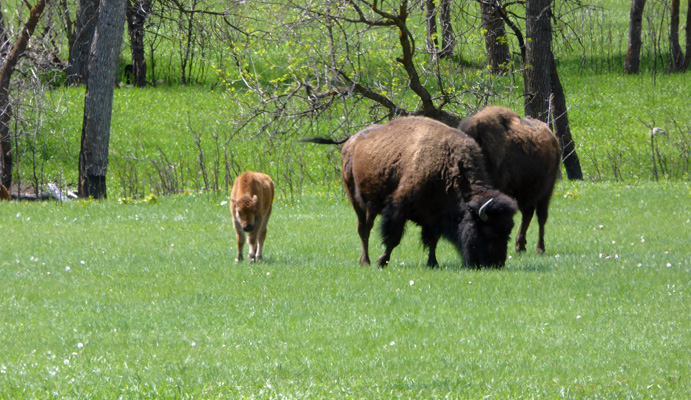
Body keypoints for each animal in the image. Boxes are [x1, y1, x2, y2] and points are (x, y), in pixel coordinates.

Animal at [302, 115, 520, 268]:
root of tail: (351, 140)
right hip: (355, 199)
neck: (448, 165)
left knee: (367, 227)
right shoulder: (399, 208)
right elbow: (393, 238)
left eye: (508, 230)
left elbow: (432, 240)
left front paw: (433, 263)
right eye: (488, 231)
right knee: (363, 229)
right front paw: (382, 261)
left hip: (371, 205)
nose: (496, 263)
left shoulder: (434, 217)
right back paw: (366, 261)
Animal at [460, 104, 564, 253]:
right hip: (524, 193)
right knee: (528, 214)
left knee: (541, 217)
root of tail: (553, 139)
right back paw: (520, 246)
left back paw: (540, 248)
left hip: (546, 191)